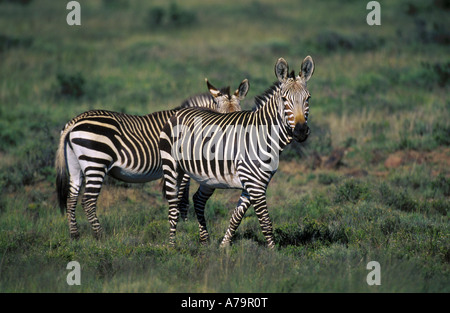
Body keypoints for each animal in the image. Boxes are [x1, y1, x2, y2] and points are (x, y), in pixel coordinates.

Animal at [55, 78, 250, 239]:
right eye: (224, 120)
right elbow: (182, 197)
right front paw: (185, 226)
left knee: (71, 198)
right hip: (96, 162)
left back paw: (74, 235)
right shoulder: (182, 167)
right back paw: (100, 236)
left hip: (76, 164)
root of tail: (74, 121)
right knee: (88, 201)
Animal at [160, 55, 314, 246]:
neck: (263, 136)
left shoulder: (254, 184)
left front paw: (223, 246)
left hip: (207, 177)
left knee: (198, 199)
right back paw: (172, 246)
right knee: (173, 208)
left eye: (308, 98)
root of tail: (179, 112)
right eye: (285, 99)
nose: (301, 131)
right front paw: (273, 252)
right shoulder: (255, 186)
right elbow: (265, 222)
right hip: (172, 167)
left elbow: (237, 216)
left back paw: (205, 241)